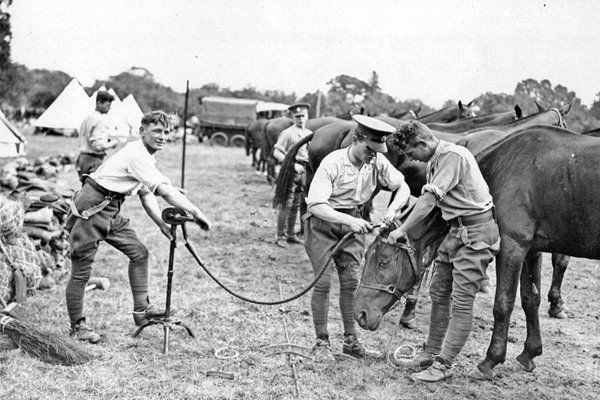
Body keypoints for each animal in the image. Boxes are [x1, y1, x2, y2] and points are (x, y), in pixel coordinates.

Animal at [356, 124, 600, 378]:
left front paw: (490, 360)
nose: (360, 314)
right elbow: (531, 299)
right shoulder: (531, 249)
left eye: (383, 261)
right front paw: (530, 353)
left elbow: (503, 304)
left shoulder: (512, 247)